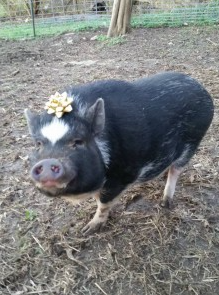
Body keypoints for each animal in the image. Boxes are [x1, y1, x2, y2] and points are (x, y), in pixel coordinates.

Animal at [24, 71, 213, 234]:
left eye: (79, 141)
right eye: (38, 144)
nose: (48, 161)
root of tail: (202, 89)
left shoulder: (120, 177)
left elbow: (103, 203)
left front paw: (87, 230)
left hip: (193, 141)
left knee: (176, 170)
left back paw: (165, 203)